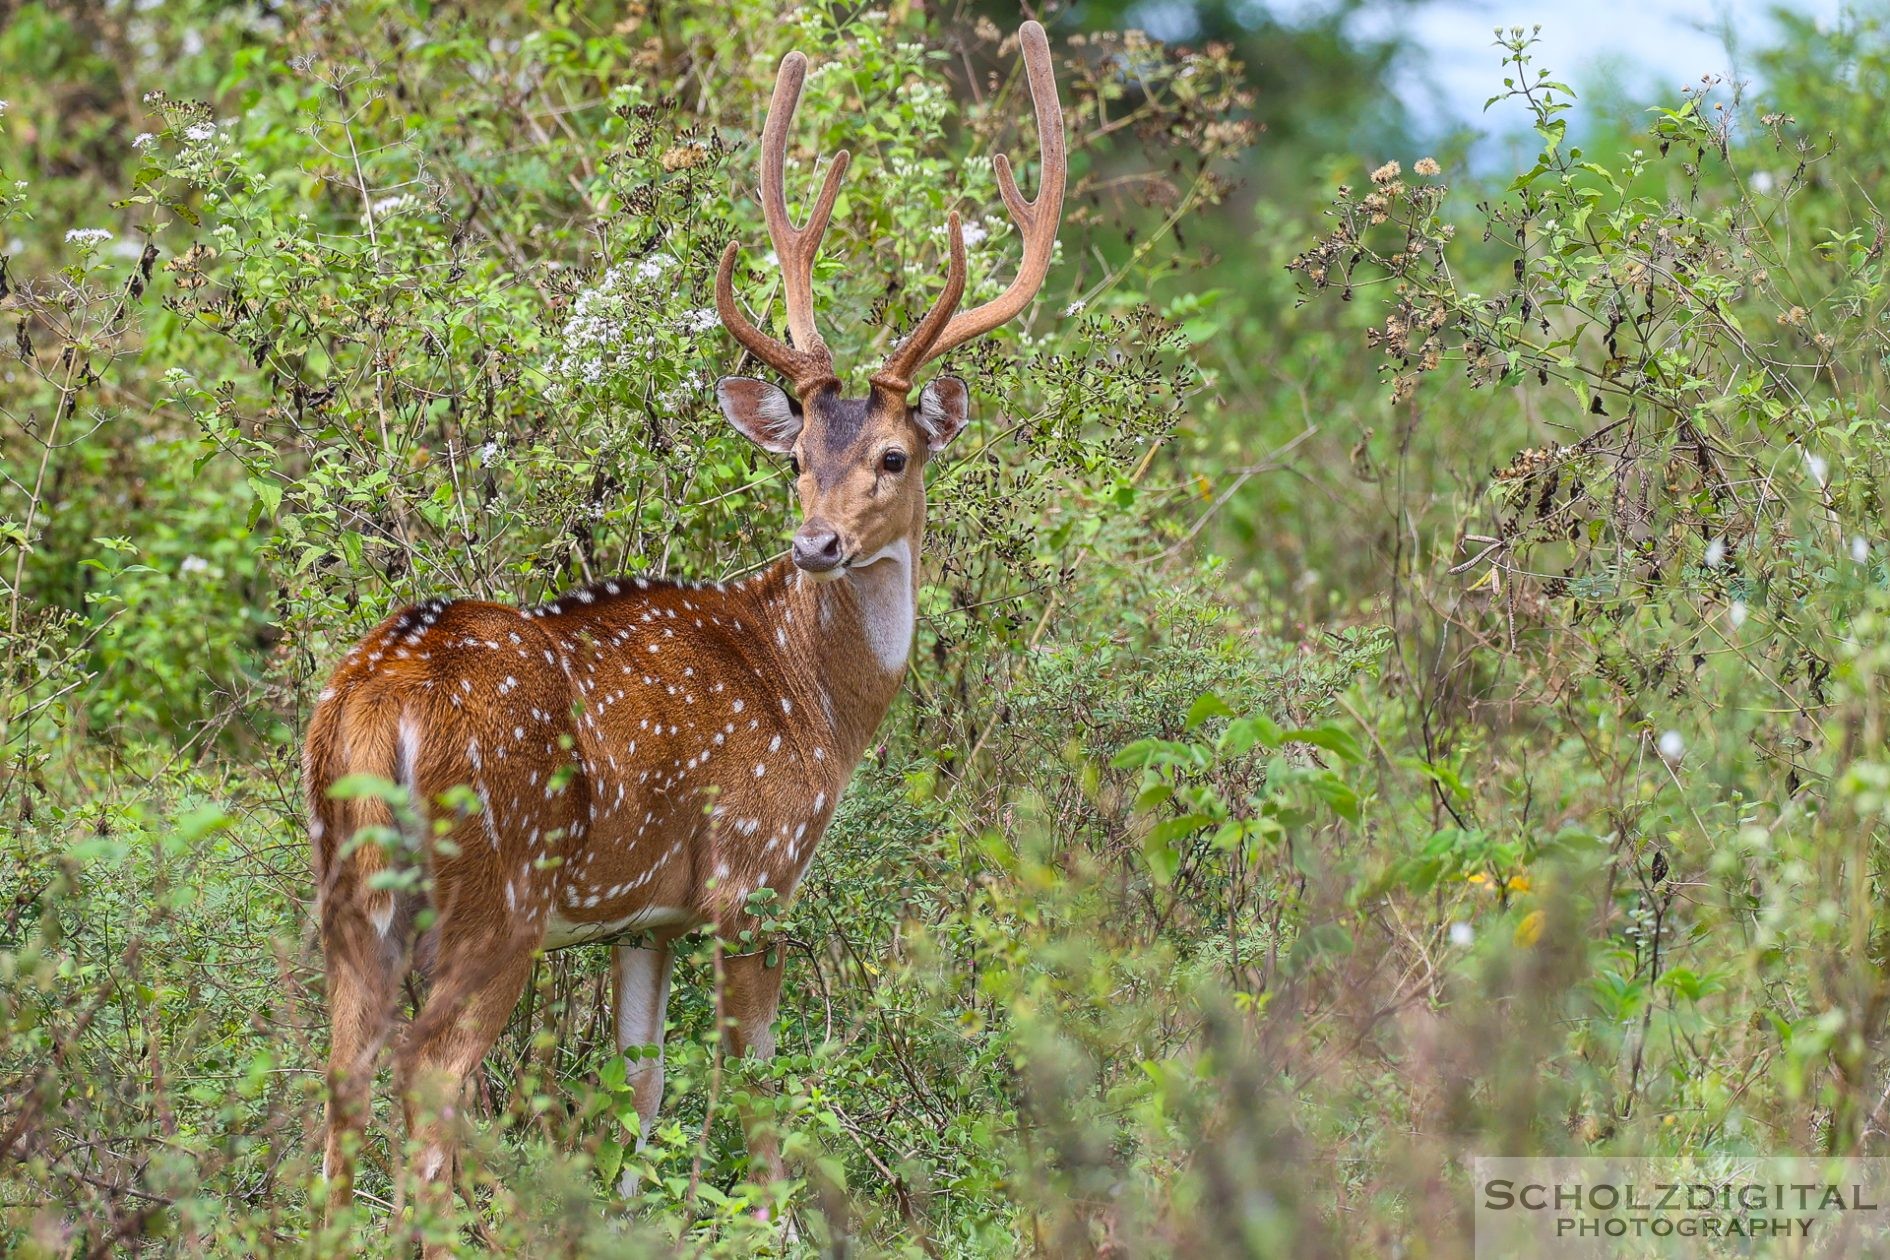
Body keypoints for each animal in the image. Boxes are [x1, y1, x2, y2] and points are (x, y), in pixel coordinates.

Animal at [309, 19, 1065, 1239]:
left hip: (347, 882)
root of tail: (384, 701)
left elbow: (643, 1082)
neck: (817, 700)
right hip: (499, 891)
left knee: (340, 1065)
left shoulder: (644, 915)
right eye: (796, 460)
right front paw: (773, 1225)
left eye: (892, 458)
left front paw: (632, 1215)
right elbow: (751, 1076)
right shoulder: (753, 870)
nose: (818, 544)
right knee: (430, 1069)